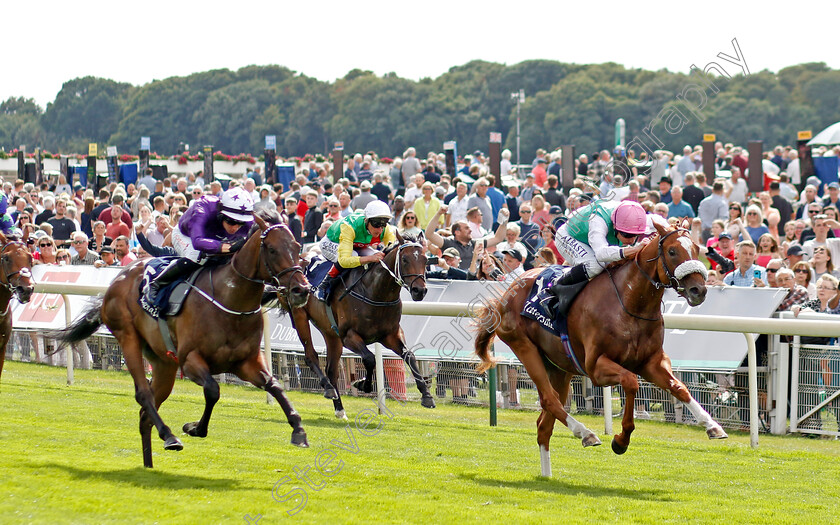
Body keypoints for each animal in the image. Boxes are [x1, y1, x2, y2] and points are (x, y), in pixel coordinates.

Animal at [50, 211, 312, 468]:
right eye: (272, 249)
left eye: (298, 246)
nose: (301, 289)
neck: (230, 299)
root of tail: (118, 278)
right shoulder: (189, 360)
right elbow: (213, 390)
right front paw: (194, 428)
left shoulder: (246, 363)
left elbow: (275, 386)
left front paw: (298, 430)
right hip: (128, 338)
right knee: (143, 395)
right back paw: (169, 436)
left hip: (164, 362)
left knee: (145, 414)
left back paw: (149, 465)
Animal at [278, 235, 436, 420]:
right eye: (404, 259)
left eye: (425, 260)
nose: (420, 290)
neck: (376, 292)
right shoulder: (349, 336)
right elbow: (369, 358)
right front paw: (362, 385)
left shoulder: (391, 334)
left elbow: (409, 356)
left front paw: (427, 396)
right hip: (300, 316)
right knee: (311, 356)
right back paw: (328, 389)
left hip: (330, 332)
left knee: (331, 370)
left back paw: (339, 409)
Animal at [476, 221, 724, 474]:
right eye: (672, 251)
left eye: (696, 248)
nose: (699, 290)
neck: (630, 303)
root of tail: (504, 294)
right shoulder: (596, 367)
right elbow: (631, 382)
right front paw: (621, 440)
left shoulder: (651, 362)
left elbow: (679, 387)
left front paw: (713, 426)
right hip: (525, 348)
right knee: (549, 400)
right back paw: (586, 433)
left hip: (559, 368)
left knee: (544, 423)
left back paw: (547, 475)